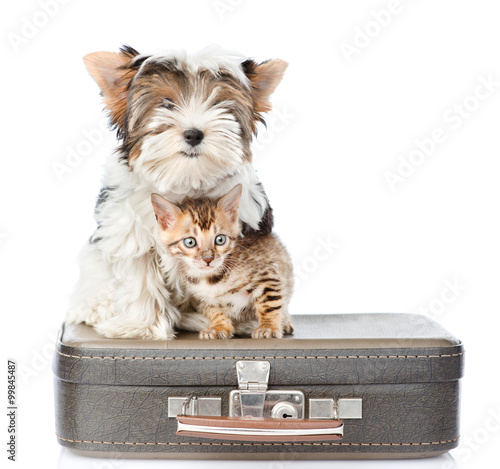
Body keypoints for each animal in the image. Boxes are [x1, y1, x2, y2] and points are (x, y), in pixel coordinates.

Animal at [151, 185, 292, 338]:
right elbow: (214, 310)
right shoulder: (204, 298)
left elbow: (269, 305)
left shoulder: (268, 275)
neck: (209, 278)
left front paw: (268, 327)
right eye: (190, 242)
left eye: (220, 239)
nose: (208, 259)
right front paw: (219, 327)